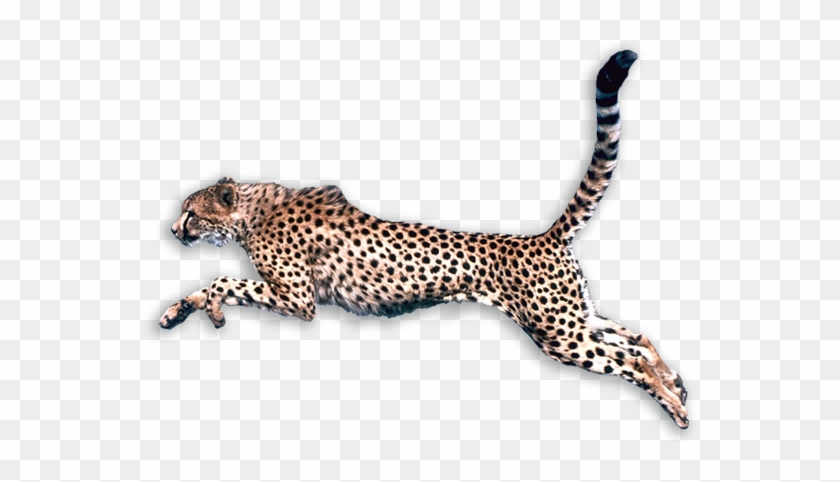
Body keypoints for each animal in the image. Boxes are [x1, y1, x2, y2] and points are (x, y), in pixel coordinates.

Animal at [160, 51, 689, 428]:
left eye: (191, 213)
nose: (172, 230)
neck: (253, 212)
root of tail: (543, 237)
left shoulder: (297, 298)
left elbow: (224, 281)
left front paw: (209, 308)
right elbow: (212, 287)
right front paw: (179, 312)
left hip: (558, 333)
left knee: (627, 358)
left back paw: (674, 406)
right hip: (572, 317)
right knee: (637, 339)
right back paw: (676, 383)